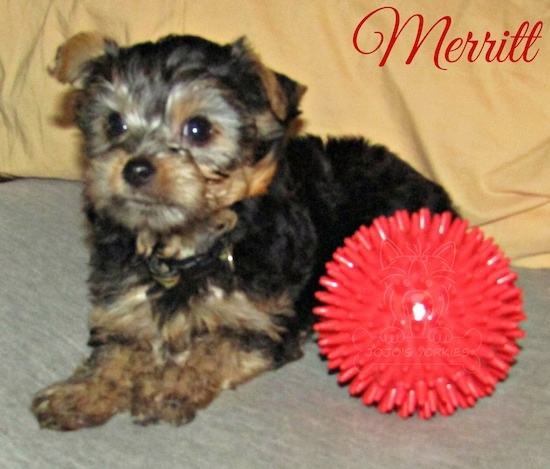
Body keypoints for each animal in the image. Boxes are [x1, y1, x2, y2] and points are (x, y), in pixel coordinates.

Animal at [32, 31, 460, 430]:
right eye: (114, 124)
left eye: (198, 129)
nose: (135, 168)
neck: (189, 247)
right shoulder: (122, 300)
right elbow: (115, 349)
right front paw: (82, 392)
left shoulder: (265, 319)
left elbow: (215, 346)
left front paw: (166, 386)